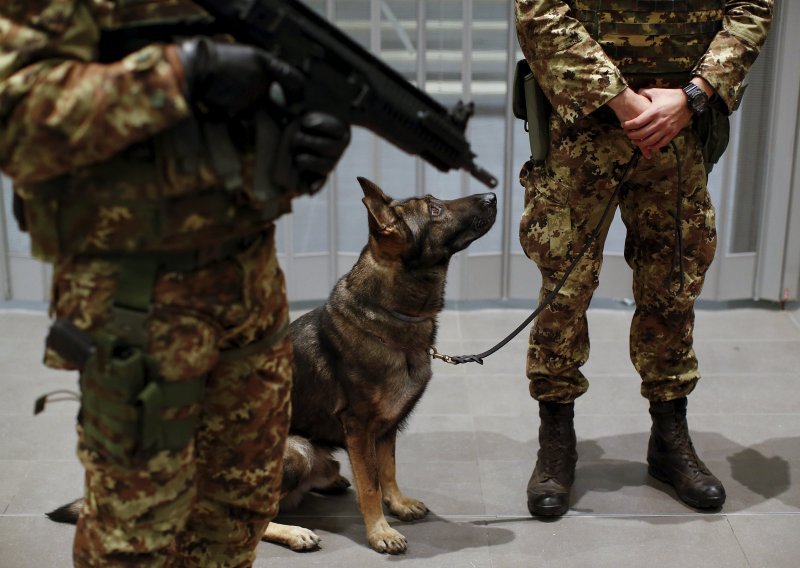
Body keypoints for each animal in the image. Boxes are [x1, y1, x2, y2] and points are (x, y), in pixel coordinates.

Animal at [47, 176, 494, 556]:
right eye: (435, 208)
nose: (492, 195)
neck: (388, 313)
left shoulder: (386, 428)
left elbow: (388, 470)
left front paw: (397, 504)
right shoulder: (360, 427)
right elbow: (370, 484)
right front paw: (379, 531)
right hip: (294, 450)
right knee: (249, 522)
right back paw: (294, 532)